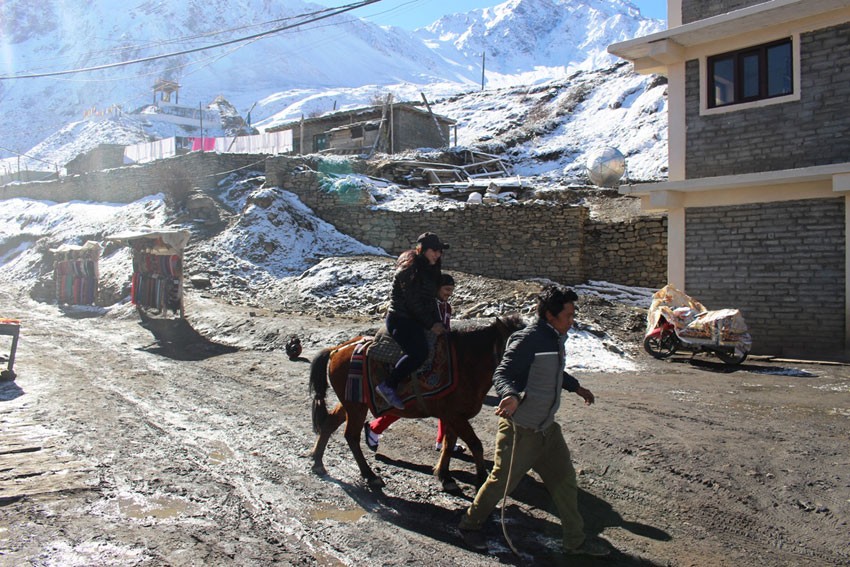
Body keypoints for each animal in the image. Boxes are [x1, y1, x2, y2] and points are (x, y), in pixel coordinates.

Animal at [312, 316, 524, 492]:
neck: (466, 363)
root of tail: (337, 349)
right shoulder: (455, 416)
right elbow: (475, 444)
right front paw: (481, 479)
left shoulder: (452, 416)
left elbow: (449, 444)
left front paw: (445, 477)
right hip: (356, 407)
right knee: (351, 436)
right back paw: (370, 476)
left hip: (351, 402)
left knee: (330, 423)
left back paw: (318, 463)